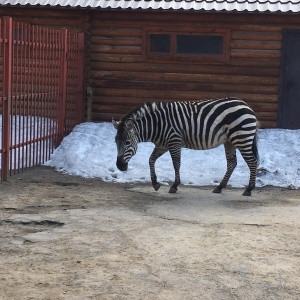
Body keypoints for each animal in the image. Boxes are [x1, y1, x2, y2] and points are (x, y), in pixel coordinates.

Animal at [112, 97, 258, 197]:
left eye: (127, 142)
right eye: (115, 142)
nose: (120, 166)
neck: (158, 125)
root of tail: (245, 105)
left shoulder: (174, 141)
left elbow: (176, 163)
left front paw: (175, 185)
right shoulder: (162, 145)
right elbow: (151, 160)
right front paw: (155, 183)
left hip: (242, 138)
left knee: (252, 162)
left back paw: (249, 189)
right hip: (229, 141)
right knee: (232, 163)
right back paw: (220, 187)